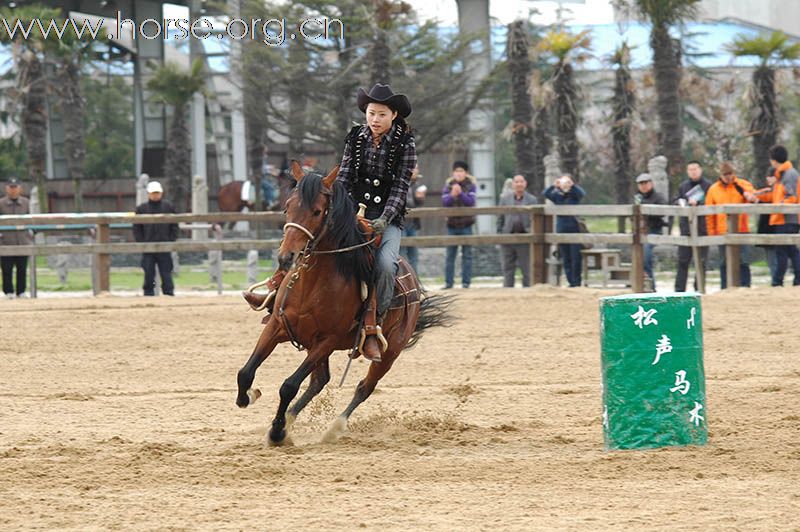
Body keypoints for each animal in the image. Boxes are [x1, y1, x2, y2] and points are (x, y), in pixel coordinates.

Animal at [236, 162, 450, 444]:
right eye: (287, 207)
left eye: (317, 211)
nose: (286, 257)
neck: (312, 286)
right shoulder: (277, 326)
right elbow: (246, 372)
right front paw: (249, 397)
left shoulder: (327, 341)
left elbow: (289, 385)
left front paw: (277, 431)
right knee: (319, 381)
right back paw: (291, 419)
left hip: (389, 353)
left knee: (364, 387)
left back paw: (333, 427)